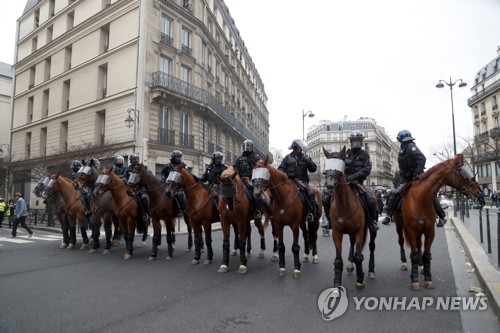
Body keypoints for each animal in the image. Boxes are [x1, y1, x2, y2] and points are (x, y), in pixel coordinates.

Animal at [322, 147, 376, 292]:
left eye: (339, 168)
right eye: (326, 168)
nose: (329, 186)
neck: (344, 204)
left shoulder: (359, 231)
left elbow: (359, 256)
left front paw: (360, 280)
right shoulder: (337, 233)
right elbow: (338, 260)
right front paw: (337, 285)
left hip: (371, 229)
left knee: (371, 246)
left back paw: (371, 270)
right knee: (352, 243)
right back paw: (351, 264)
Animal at [390, 153, 480, 288]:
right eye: (461, 171)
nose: (479, 191)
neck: (421, 200)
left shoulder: (429, 231)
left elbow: (426, 254)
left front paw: (427, 278)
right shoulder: (411, 231)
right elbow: (413, 254)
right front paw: (415, 280)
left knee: (419, 244)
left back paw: (421, 265)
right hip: (400, 226)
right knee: (401, 242)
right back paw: (404, 262)